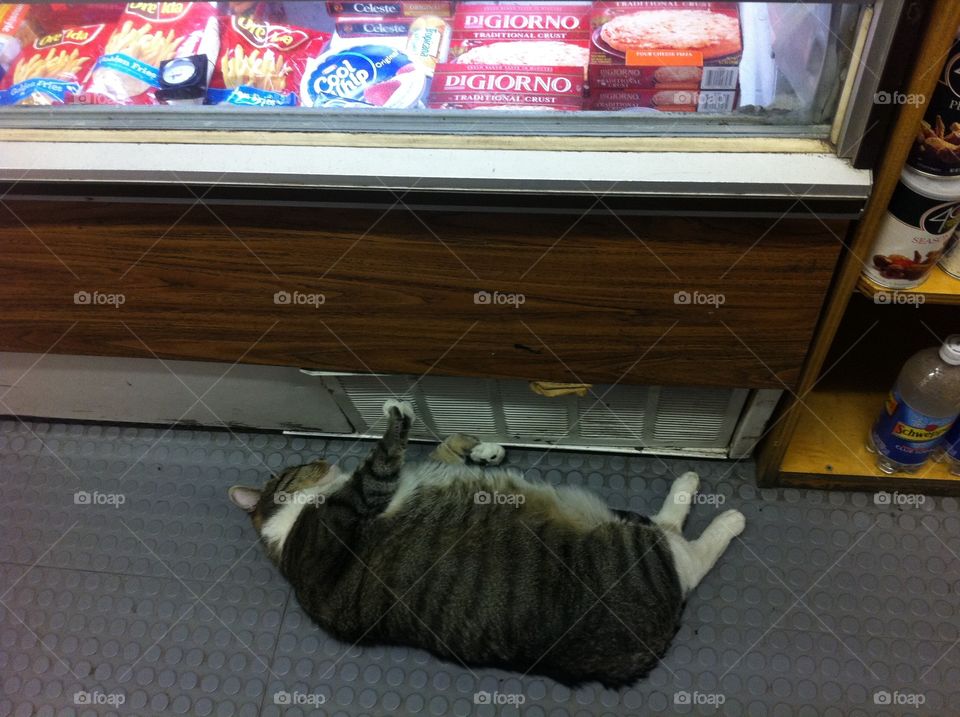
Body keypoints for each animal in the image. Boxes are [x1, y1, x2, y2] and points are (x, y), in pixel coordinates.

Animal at [229, 400, 748, 684]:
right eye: (298, 468)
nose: (323, 459)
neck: (289, 523)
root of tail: (649, 647)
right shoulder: (360, 498)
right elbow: (387, 454)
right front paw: (396, 415)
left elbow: (445, 446)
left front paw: (484, 448)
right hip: (632, 554)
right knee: (682, 548)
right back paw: (715, 505)